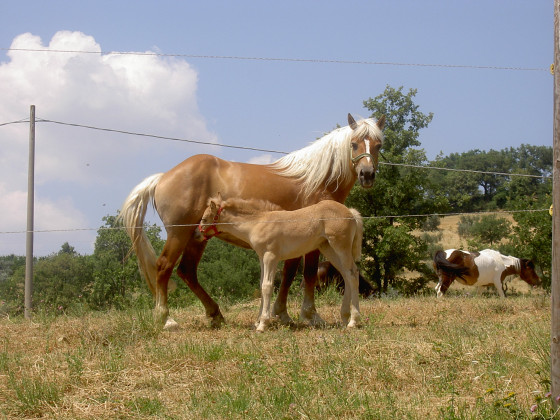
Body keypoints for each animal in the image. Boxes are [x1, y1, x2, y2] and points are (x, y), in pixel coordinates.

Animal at [197, 194, 364, 332]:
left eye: (204, 219)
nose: (197, 235)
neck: (258, 222)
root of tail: (350, 212)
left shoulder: (271, 256)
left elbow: (267, 286)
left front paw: (263, 324)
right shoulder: (262, 258)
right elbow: (261, 285)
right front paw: (258, 322)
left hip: (340, 246)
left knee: (352, 274)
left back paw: (353, 321)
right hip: (327, 247)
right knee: (347, 275)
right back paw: (345, 317)